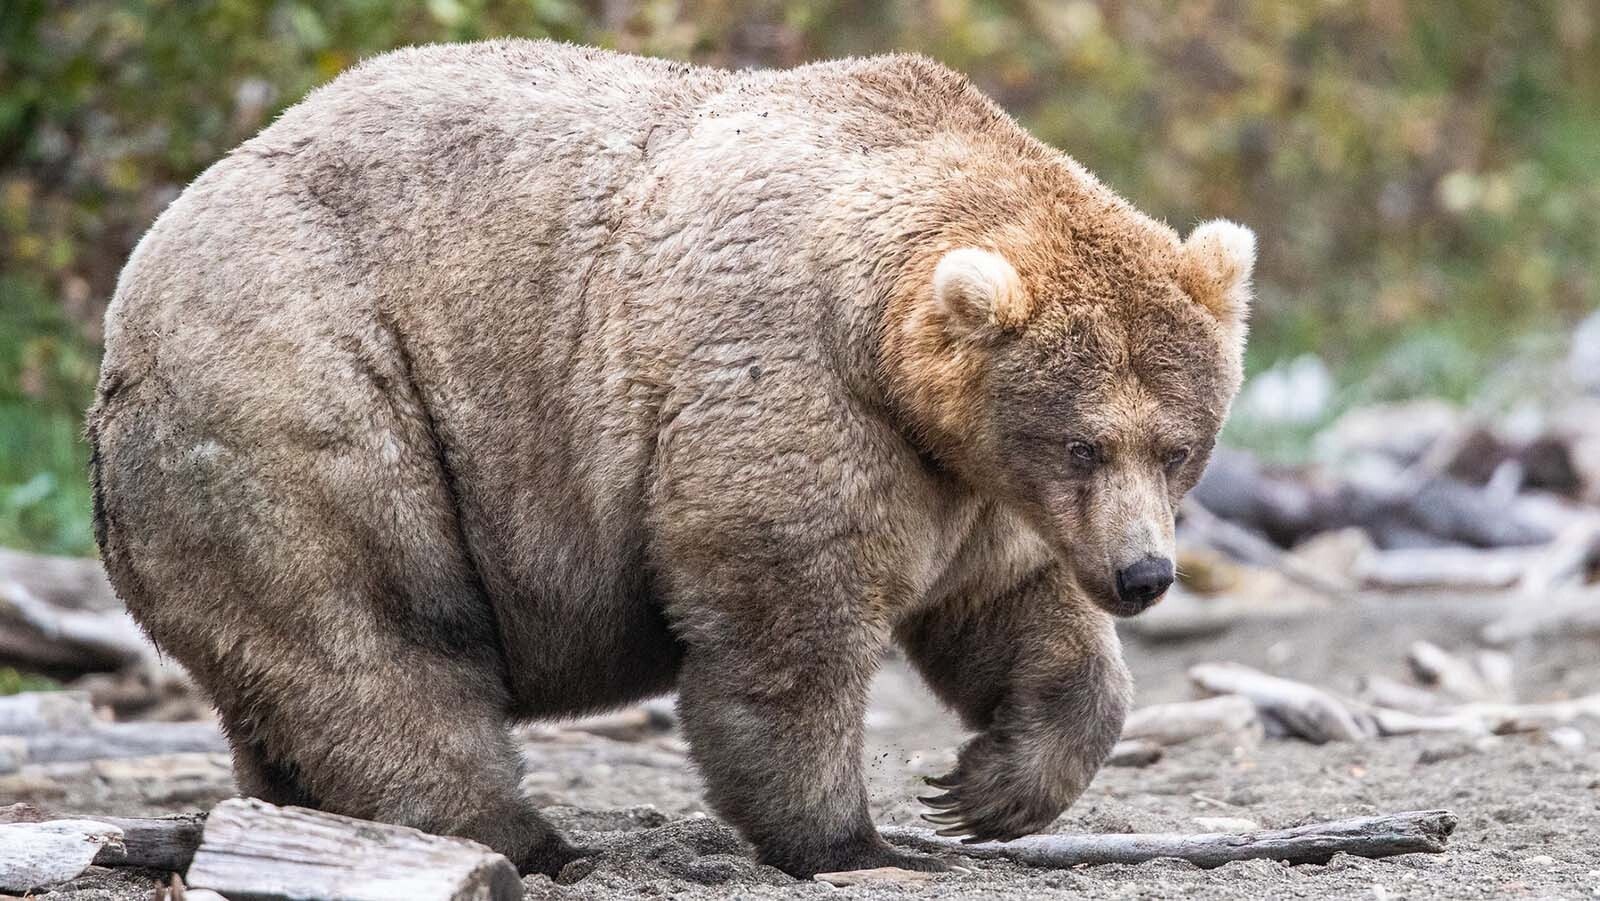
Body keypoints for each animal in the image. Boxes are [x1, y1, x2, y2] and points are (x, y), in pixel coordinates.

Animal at [87, 42, 1254, 883]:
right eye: (1083, 440)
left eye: (1178, 445)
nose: (1144, 575)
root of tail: (132, 296)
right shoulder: (791, 387)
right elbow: (787, 622)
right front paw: (855, 840)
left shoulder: (970, 481)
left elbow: (1012, 608)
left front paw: (985, 787)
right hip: (312, 392)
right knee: (376, 635)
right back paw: (524, 838)